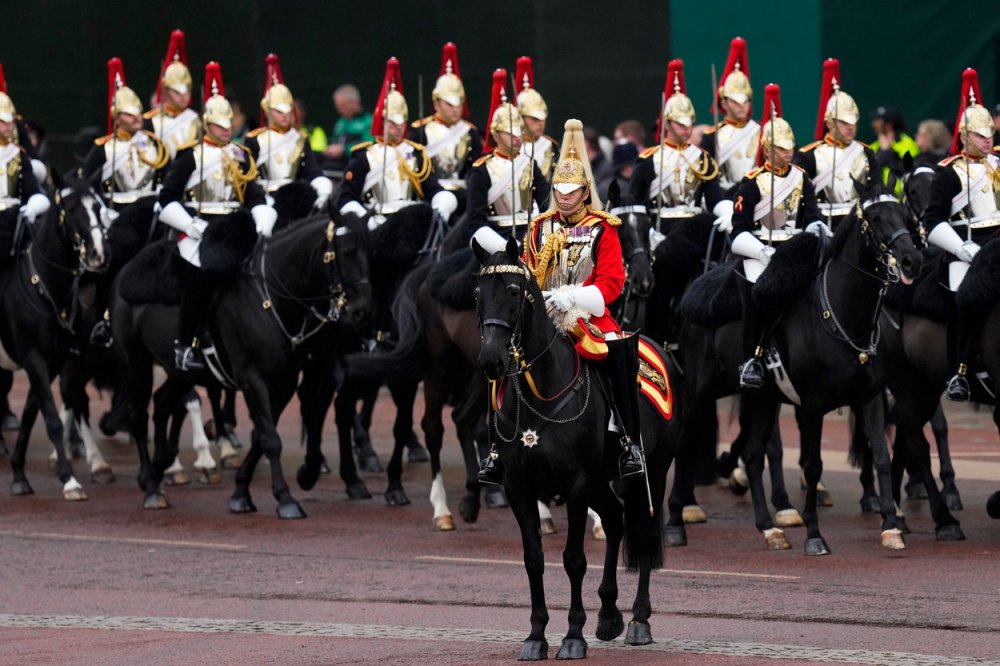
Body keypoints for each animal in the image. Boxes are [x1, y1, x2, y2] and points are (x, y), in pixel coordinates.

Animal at [0, 176, 109, 498]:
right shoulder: (34, 358)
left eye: (97, 206)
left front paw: (19, 474)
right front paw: (69, 479)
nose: (99, 254)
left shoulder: (52, 361)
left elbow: (30, 414)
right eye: (71, 210)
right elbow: (51, 419)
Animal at [112, 210, 372, 516]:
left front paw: (241, 492)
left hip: (182, 373)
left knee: (163, 402)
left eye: (369, 250)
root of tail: (126, 270)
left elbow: (262, 436)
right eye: (347, 251)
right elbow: (271, 439)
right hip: (134, 361)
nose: (361, 313)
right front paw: (285, 498)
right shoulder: (253, 378)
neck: (271, 297)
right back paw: (152, 488)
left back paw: (160, 466)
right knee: (139, 416)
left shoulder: (283, 382)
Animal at [474, 237, 680, 652]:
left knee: (643, 532)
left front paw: (572, 636)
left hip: (649, 471)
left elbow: (573, 559)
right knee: (616, 521)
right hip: (601, 481)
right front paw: (536, 636)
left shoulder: (575, 484)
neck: (538, 397)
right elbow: (533, 558)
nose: (491, 361)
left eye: (513, 292)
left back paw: (639, 620)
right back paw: (609, 614)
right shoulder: (519, 487)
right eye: (476, 294)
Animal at [736, 184, 920, 552]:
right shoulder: (812, 406)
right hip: (754, 396)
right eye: (875, 218)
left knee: (752, 455)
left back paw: (769, 528)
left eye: (905, 215)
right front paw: (814, 535)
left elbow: (881, 456)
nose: (911, 260)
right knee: (751, 454)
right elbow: (813, 465)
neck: (845, 318)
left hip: (768, 399)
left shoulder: (870, 399)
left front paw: (891, 526)